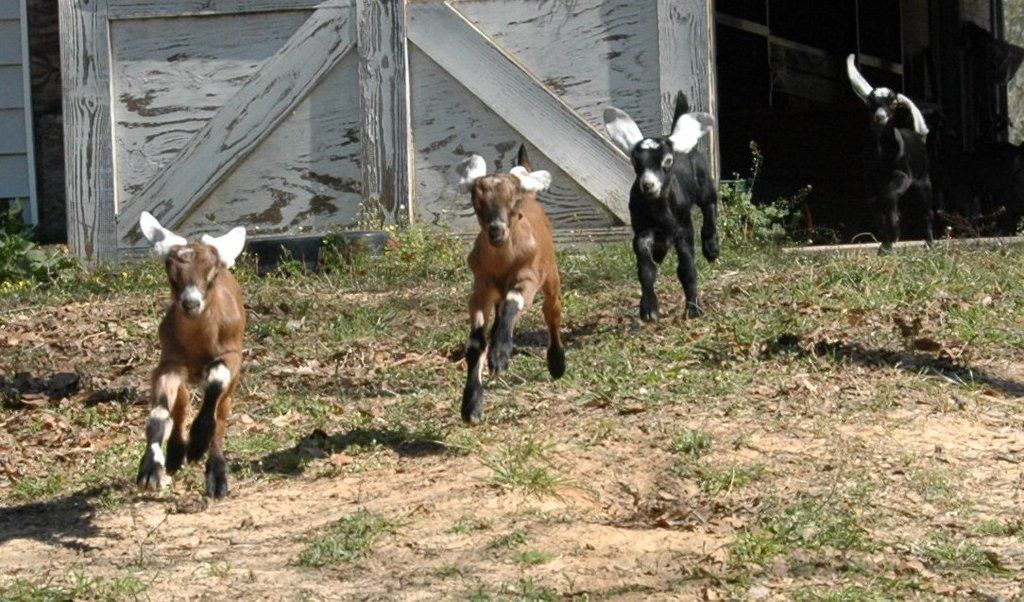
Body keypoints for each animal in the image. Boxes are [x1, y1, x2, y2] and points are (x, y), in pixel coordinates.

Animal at [136, 212, 246, 499]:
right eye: (172, 276)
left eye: (212, 274)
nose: (191, 303)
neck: (200, 346)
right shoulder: (169, 362)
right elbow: (160, 413)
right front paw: (150, 469)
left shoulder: (232, 355)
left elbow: (216, 384)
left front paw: (198, 440)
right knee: (181, 405)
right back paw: (175, 455)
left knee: (222, 412)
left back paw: (216, 476)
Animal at [455, 145, 565, 424]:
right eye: (477, 202)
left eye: (513, 202)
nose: (496, 230)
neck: (503, 261)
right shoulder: (480, 289)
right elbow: (475, 344)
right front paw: (471, 406)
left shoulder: (528, 278)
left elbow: (512, 304)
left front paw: (500, 356)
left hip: (550, 275)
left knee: (552, 312)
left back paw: (557, 363)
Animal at [603, 92, 719, 322]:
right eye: (635, 162)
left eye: (668, 160)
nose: (648, 185)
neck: (661, 211)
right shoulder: (643, 230)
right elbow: (646, 269)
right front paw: (648, 310)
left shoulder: (684, 228)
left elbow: (687, 268)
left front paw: (694, 309)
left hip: (703, 182)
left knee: (710, 204)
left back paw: (711, 247)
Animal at [846, 54, 935, 252]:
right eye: (871, 102)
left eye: (893, 103)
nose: (880, 117)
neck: (881, 153)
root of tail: (917, 135)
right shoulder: (869, 178)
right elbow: (875, 202)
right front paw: (887, 238)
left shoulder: (903, 175)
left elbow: (888, 195)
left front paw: (892, 235)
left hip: (923, 181)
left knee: (926, 210)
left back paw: (930, 242)